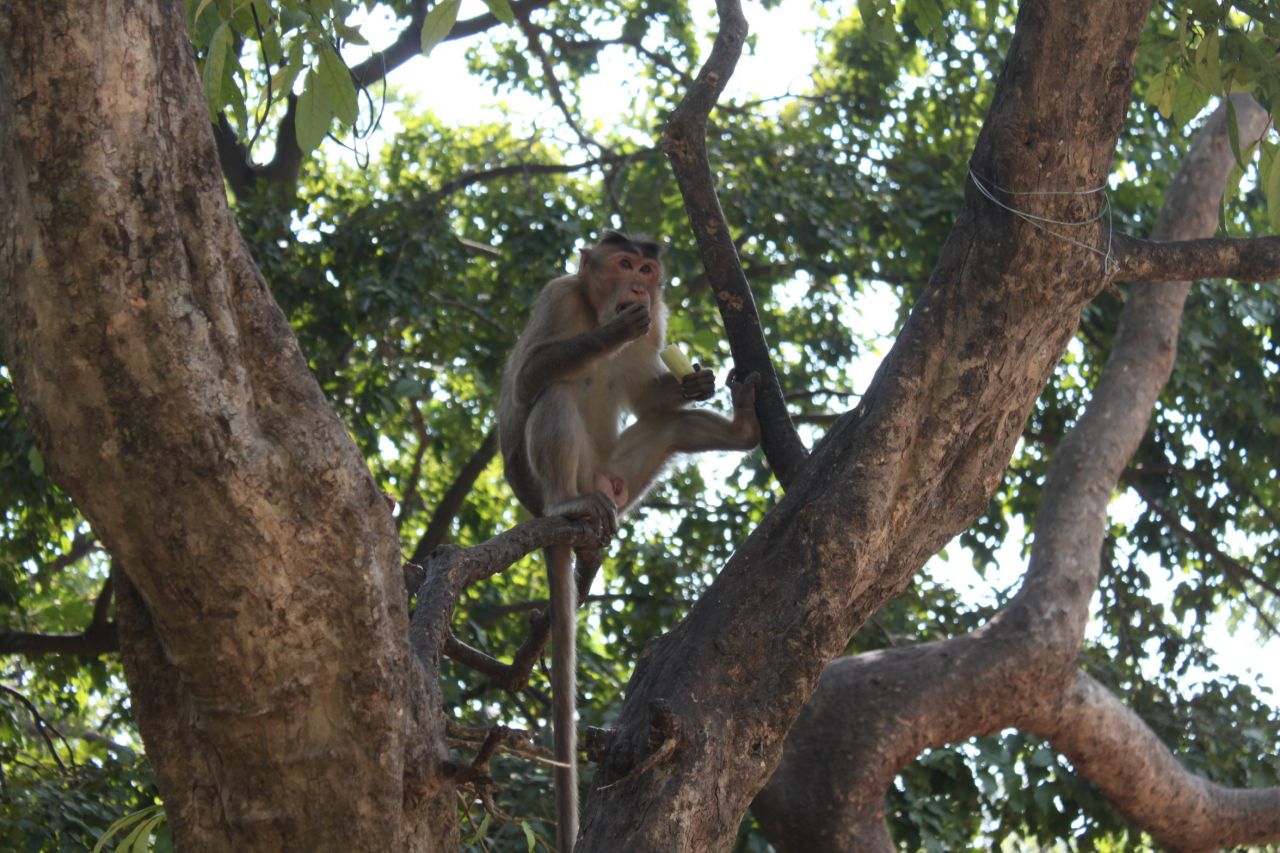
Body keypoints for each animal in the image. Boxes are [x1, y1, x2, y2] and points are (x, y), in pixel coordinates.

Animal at [496, 229, 757, 845]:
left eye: (646, 269)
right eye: (622, 264)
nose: (639, 286)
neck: (595, 305)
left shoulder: (658, 326)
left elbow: (652, 401)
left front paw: (697, 382)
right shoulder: (559, 297)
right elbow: (529, 379)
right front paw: (611, 333)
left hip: (622, 480)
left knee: (669, 427)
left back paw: (742, 430)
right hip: (562, 483)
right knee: (554, 395)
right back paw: (567, 504)